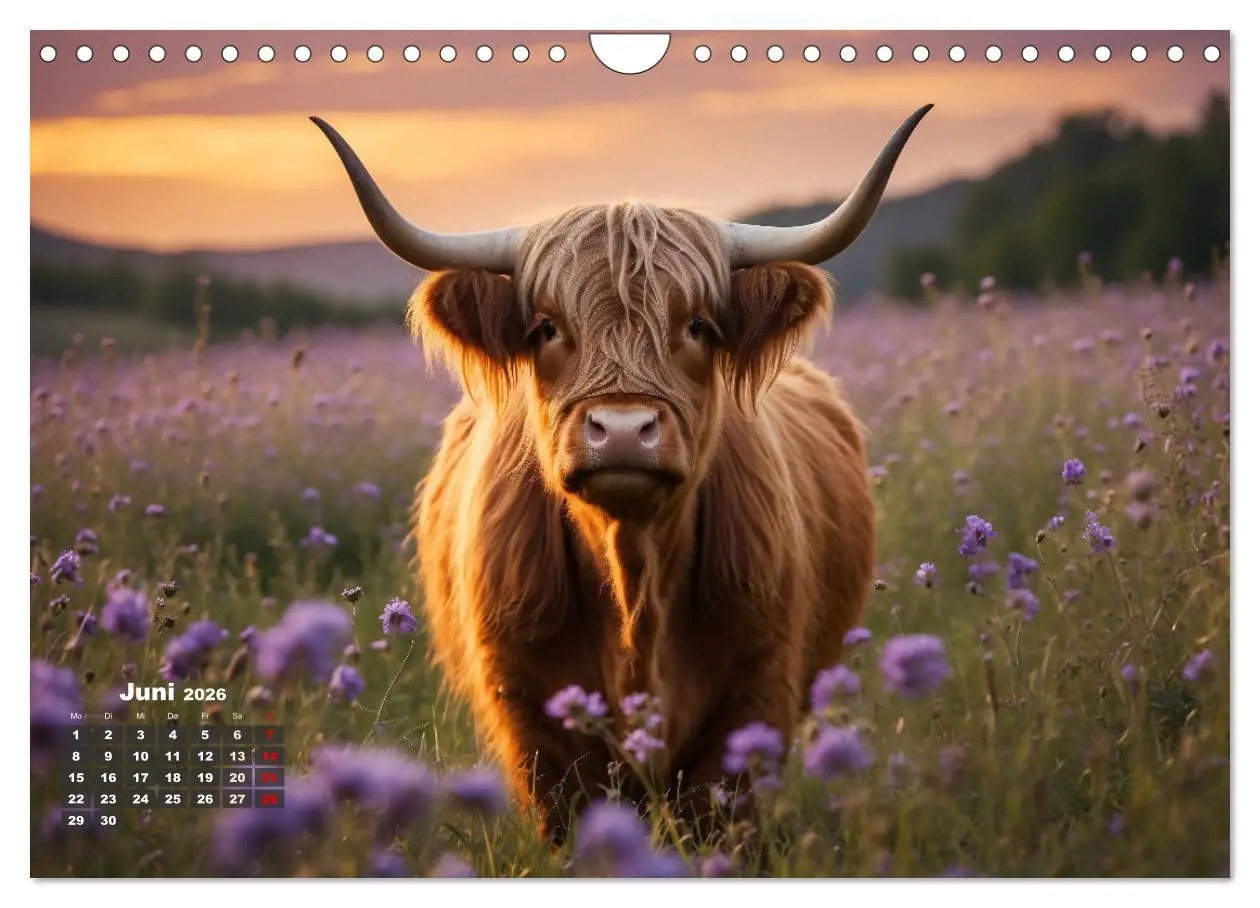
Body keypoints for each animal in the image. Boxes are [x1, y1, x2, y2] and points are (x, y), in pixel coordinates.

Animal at [312, 105, 932, 843]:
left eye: (698, 325)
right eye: (546, 328)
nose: (625, 429)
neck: (635, 584)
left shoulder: (755, 695)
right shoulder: (530, 719)